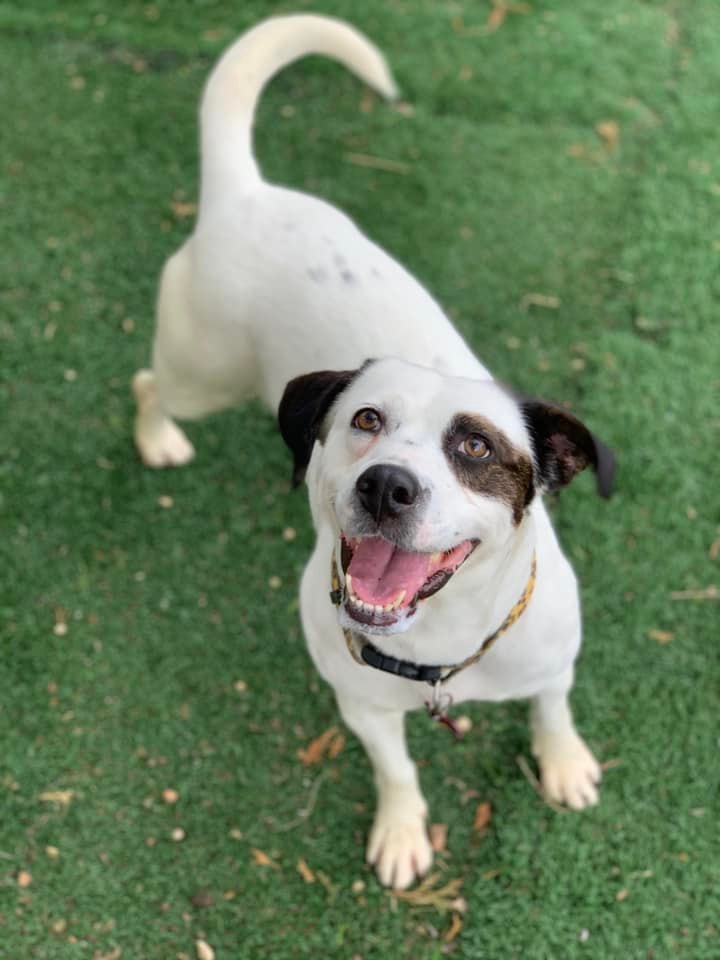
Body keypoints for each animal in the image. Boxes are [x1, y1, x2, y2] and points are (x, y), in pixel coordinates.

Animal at [134, 13, 612, 892]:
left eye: (474, 444)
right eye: (365, 419)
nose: (387, 486)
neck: (442, 650)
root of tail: (244, 193)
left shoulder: (552, 663)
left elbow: (553, 708)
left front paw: (562, 763)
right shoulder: (361, 707)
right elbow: (397, 770)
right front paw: (401, 832)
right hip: (202, 372)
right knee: (150, 381)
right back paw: (157, 438)